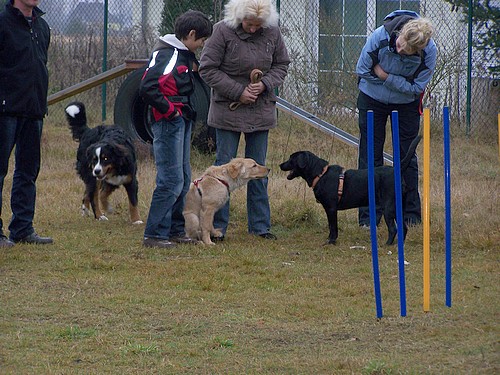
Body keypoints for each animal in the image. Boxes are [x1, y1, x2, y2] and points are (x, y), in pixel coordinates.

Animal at [282, 135, 422, 247]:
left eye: (291, 158)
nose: (280, 165)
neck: (320, 174)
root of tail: (397, 170)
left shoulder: (331, 208)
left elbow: (333, 227)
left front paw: (331, 241)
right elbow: (331, 227)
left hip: (388, 209)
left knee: (393, 229)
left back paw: (387, 244)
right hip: (398, 207)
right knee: (404, 227)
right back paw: (399, 245)